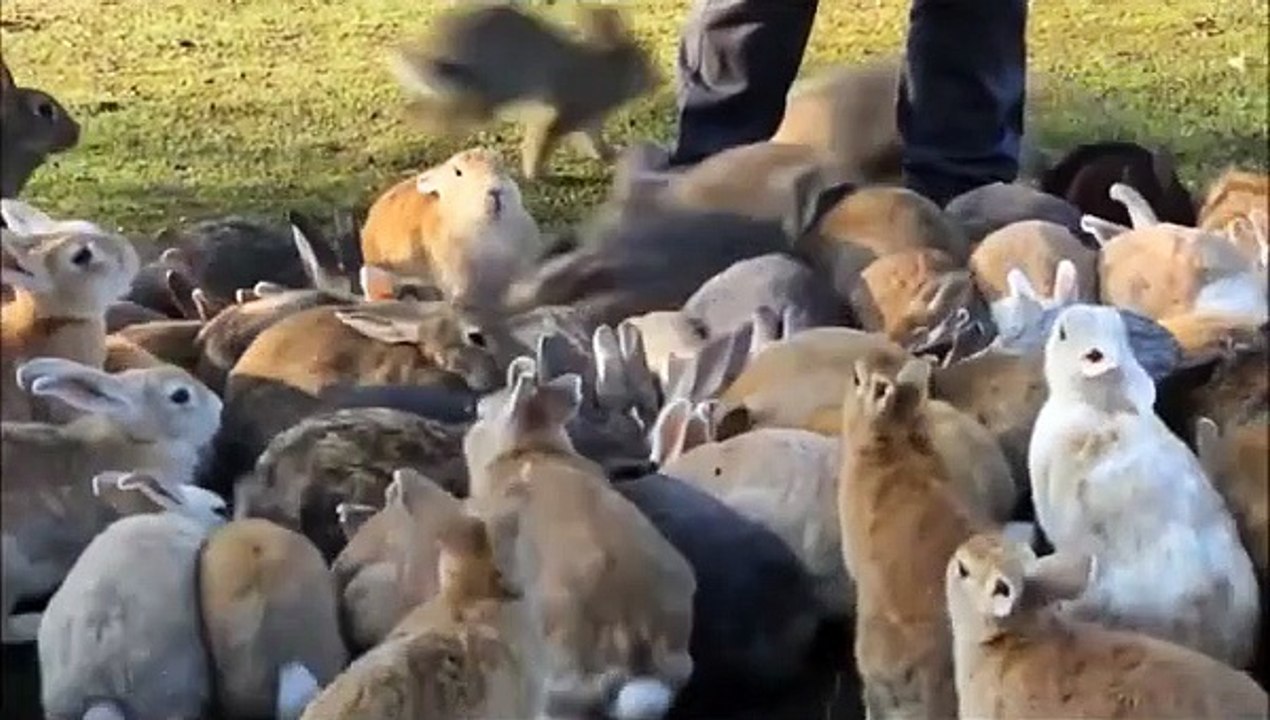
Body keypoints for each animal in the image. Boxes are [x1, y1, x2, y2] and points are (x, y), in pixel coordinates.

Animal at [388, 4, 655, 179]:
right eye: (645, 63)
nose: (658, 80)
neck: (609, 71)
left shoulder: (589, 121)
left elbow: (595, 143)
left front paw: (615, 155)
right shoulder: (562, 116)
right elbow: (540, 145)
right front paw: (534, 174)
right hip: (481, 96)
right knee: (423, 113)